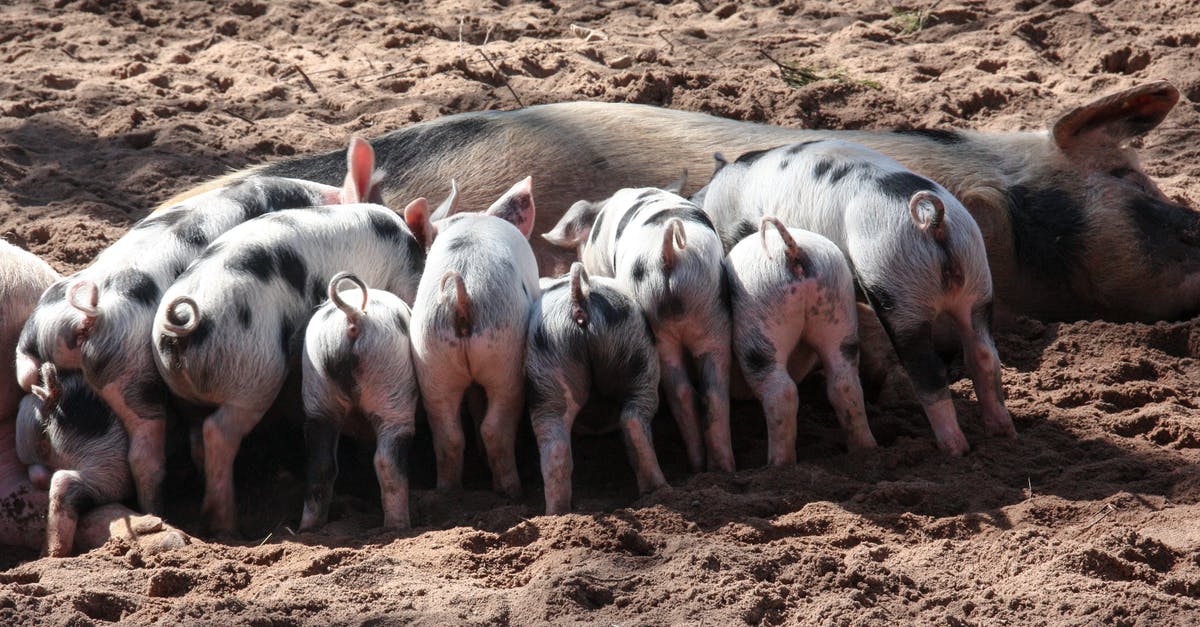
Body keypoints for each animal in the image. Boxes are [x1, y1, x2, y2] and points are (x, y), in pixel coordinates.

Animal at [300, 272, 418, 530]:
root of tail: (353, 315)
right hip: (391, 384)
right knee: (386, 460)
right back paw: (399, 526)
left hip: (318, 392)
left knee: (320, 465)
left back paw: (308, 528)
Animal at [403, 177, 539, 499]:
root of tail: (462, 294)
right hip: (506, 351)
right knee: (496, 425)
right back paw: (511, 491)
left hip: (430, 354)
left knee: (448, 432)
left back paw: (447, 491)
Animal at [526, 262, 667, 513]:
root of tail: (580, 301)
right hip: (638, 355)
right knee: (633, 417)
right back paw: (657, 491)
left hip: (550, 366)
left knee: (554, 444)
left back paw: (557, 513)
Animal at [544, 186, 735, 473]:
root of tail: (669, 253)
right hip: (709, 313)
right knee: (709, 392)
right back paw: (717, 468)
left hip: (669, 317)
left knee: (684, 391)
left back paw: (703, 467)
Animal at [724, 217, 876, 464]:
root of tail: (793, 251)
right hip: (838, 309)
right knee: (845, 384)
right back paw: (865, 449)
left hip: (760, 317)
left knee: (781, 391)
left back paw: (778, 464)